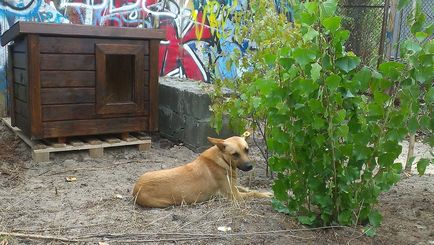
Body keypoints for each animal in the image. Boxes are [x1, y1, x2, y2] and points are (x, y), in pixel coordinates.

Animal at [132, 135, 272, 208]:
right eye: (235, 154)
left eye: (247, 150)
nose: (250, 166)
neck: (222, 159)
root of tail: (136, 189)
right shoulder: (234, 196)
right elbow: (253, 193)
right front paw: (266, 195)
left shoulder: (234, 187)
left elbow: (247, 188)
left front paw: (265, 192)